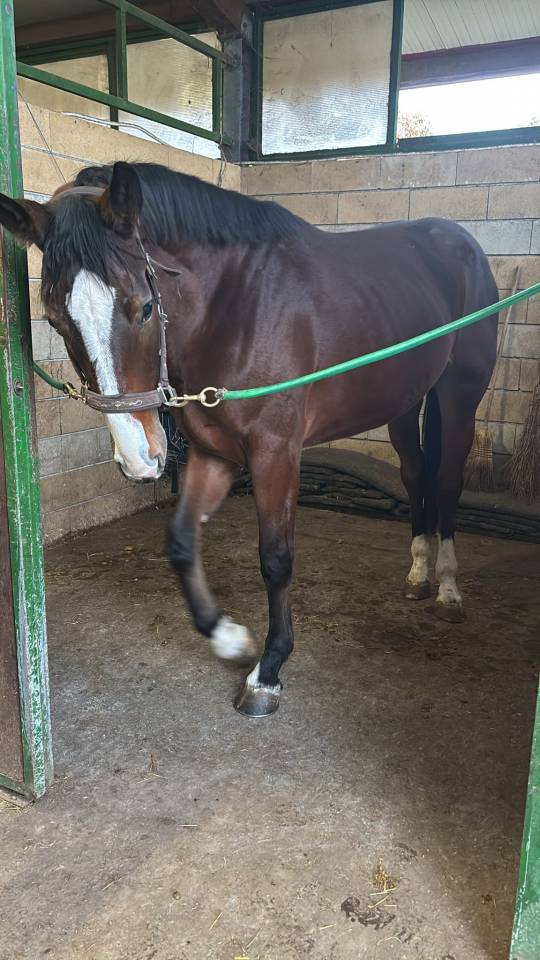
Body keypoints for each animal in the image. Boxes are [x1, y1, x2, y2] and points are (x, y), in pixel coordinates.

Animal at [0, 160, 498, 717]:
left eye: (146, 307)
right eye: (56, 320)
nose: (140, 459)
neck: (236, 308)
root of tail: (459, 241)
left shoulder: (275, 454)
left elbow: (276, 559)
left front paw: (269, 670)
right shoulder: (213, 453)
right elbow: (180, 542)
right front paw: (228, 638)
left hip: (458, 395)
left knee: (448, 480)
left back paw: (449, 587)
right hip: (404, 400)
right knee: (415, 475)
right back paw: (418, 573)